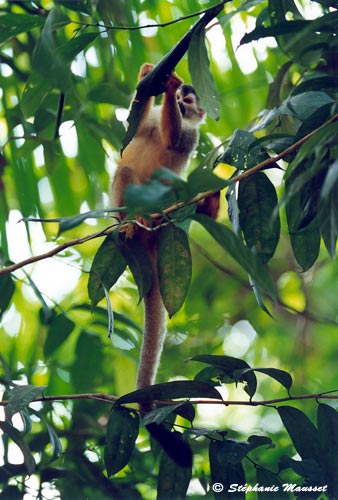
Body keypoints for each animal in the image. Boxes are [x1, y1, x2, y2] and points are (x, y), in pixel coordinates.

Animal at [111, 63, 217, 394]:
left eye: (187, 104)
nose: (180, 105)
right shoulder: (154, 116)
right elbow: (132, 127)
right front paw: (150, 76)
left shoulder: (192, 134)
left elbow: (174, 141)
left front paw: (168, 85)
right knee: (125, 171)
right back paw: (130, 223)